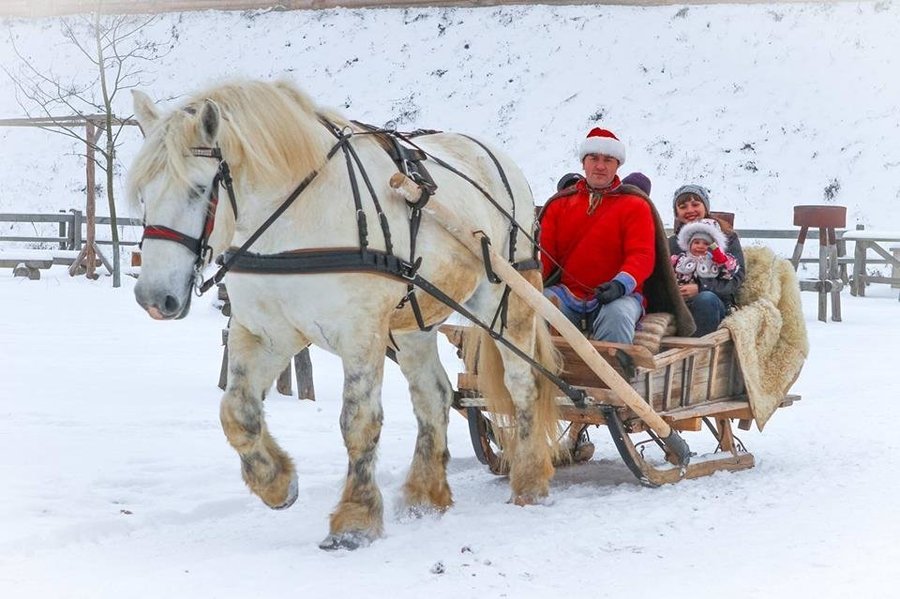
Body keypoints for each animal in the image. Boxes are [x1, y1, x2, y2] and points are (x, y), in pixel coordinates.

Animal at [130, 79, 560, 548]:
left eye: (197, 190)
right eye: (142, 194)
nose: (153, 298)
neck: (295, 219)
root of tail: (495, 156)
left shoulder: (361, 333)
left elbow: (359, 422)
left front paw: (355, 519)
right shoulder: (263, 331)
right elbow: (237, 412)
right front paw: (277, 484)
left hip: (508, 300)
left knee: (523, 384)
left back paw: (529, 480)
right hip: (414, 320)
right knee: (434, 395)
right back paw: (425, 494)